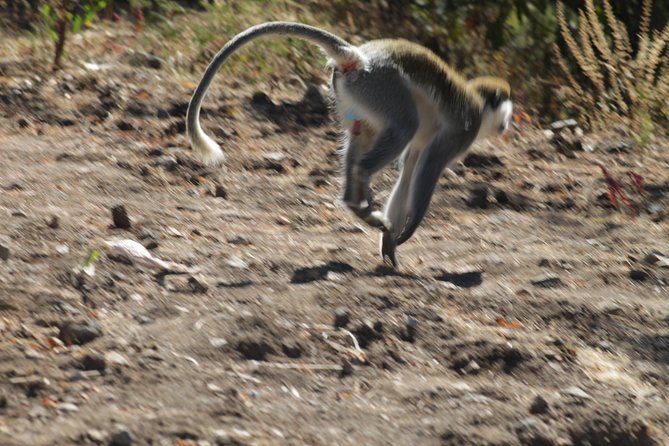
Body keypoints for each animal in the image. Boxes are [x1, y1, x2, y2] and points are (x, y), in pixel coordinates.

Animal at [188, 21, 512, 264]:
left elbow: (409, 172)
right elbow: (429, 166)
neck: (479, 103)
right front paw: (409, 228)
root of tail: (358, 56)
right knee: (403, 127)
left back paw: (353, 203)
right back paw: (362, 182)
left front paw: (390, 243)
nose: (508, 124)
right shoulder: (463, 131)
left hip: (356, 95)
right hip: (382, 87)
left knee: (363, 133)